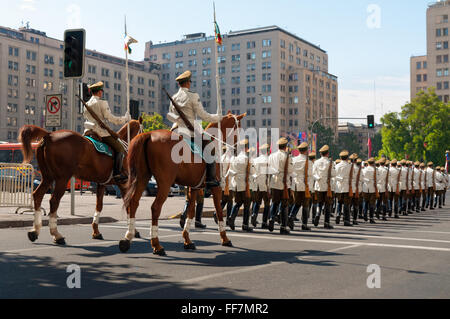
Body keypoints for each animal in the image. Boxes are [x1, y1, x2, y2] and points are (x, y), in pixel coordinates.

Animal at [120, 114, 246, 256]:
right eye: (238, 127)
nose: (238, 149)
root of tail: (148, 134)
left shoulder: (194, 186)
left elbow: (191, 211)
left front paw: (187, 240)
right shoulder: (216, 186)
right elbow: (218, 210)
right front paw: (225, 238)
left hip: (142, 178)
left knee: (133, 203)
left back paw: (127, 238)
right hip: (165, 183)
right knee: (155, 207)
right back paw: (157, 245)